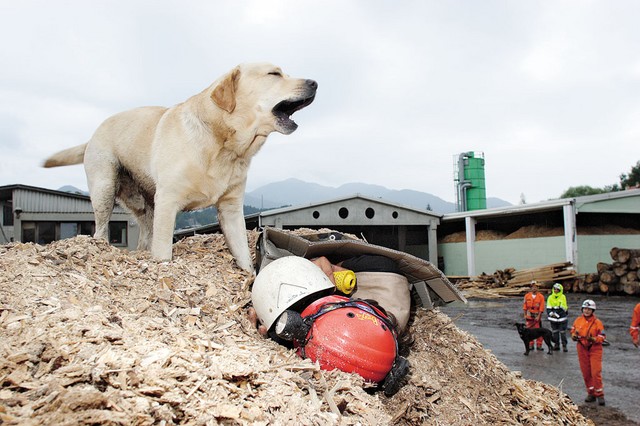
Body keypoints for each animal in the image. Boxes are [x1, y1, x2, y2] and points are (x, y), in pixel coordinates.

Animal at [43, 62, 318, 272]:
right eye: (274, 74)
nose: (315, 82)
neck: (223, 146)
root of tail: (92, 135)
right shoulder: (168, 200)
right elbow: (164, 249)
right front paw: (163, 267)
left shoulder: (230, 208)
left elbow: (242, 253)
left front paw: (249, 277)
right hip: (105, 187)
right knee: (101, 228)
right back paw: (99, 248)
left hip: (142, 202)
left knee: (145, 231)